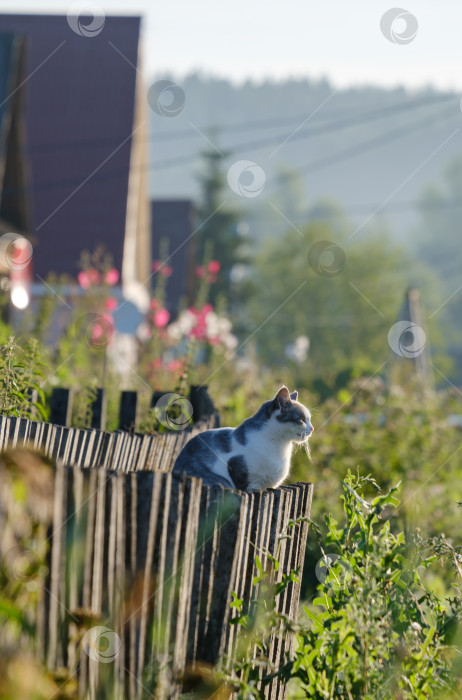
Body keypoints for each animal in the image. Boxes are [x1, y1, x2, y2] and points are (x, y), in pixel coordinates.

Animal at [173, 388, 314, 492]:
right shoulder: (245, 478)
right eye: (302, 419)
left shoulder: (269, 486)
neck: (280, 446)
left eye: (309, 419)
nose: (312, 429)